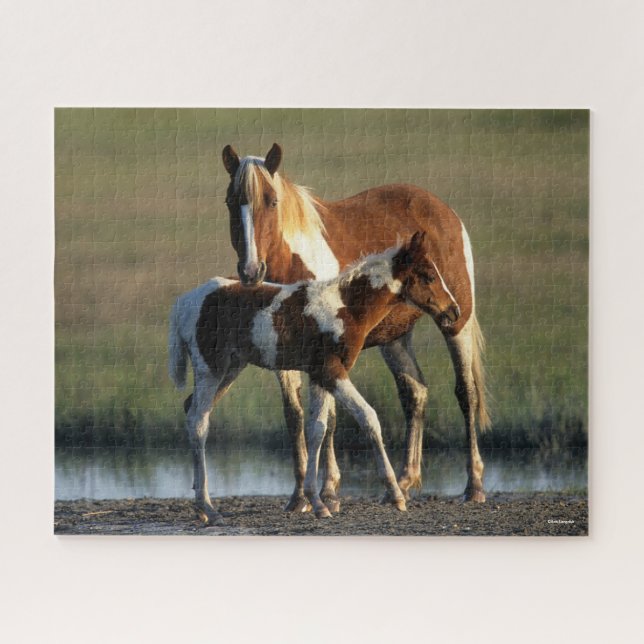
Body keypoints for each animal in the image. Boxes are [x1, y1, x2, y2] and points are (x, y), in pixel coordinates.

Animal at [169, 232, 460, 522]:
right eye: (428, 276)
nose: (453, 311)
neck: (346, 307)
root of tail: (184, 302)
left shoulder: (319, 375)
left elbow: (316, 429)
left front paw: (317, 501)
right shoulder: (332, 371)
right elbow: (368, 417)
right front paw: (396, 495)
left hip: (231, 367)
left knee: (190, 407)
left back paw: (201, 505)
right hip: (210, 368)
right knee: (198, 421)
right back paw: (208, 506)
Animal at [222, 143, 490, 509]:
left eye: (271, 201)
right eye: (230, 202)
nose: (251, 271)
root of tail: (443, 210)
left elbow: (328, 418)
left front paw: (328, 492)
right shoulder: (286, 352)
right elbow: (296, 416)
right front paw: (299, 497)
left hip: (455, 323)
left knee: (466, 393)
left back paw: (473, 485)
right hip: (395, 337)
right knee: (415, 392)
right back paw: (403, 481)